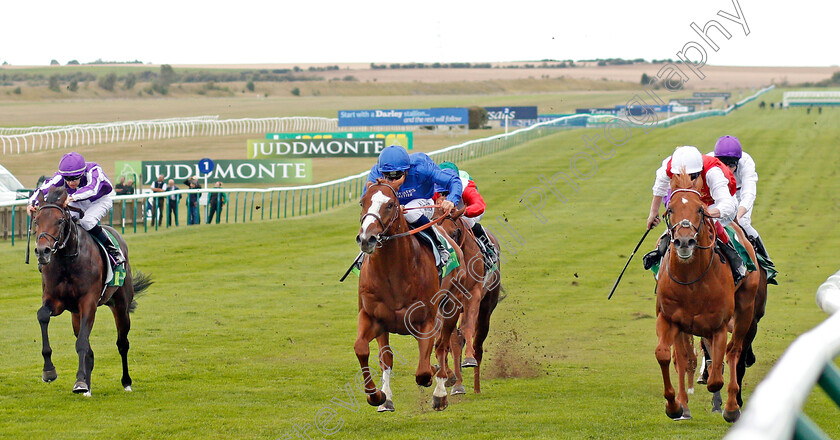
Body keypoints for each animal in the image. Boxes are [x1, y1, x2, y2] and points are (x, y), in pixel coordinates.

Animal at [32, 186, 153, 396]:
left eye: (60, 221)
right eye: (36, 221)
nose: (42, 251)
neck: (68, 260)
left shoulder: (88, 302)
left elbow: (82, 342)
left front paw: (80, 382)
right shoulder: (54, 300)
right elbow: (43, 316)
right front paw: (49, 371)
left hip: (121, 306)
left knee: (122, 344)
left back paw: (126, 382)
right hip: (75, 315)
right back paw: (87, 386)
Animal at [354, 177, 470, 410]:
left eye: (390, 204)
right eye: (362, 202)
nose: (366, 238)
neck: (393, 274)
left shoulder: (426, 320)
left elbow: (424, 372)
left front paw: (437, 378)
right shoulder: (372, 317)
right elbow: (365, 350)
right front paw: (378, 396)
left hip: (452, 305)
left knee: (442, 346)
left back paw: (441, 391)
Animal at [656, 172, 760, 422]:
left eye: (700, 209)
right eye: (670, 209)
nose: (684, 242)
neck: (692, 281)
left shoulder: (718, 325)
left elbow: (717, 377)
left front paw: (725, 403)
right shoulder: (668, 318)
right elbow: (666, 355)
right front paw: (674, 406)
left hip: (746, 311)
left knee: (734, 352)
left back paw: (731, 407)